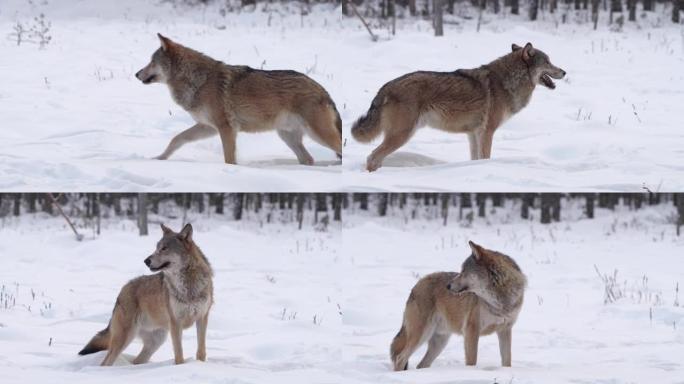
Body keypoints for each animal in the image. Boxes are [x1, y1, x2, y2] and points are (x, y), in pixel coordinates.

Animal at [77, 224, 212, 368]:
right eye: (157, 247)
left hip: (156, 341)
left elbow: (201, 351)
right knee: (106, 362)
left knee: (136, 361)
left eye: (164, 248)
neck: (188, 284)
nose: (146, 261)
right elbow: (179, 355)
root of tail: (122, 291)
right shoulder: (176, 323)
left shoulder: (202, 318)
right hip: (124, 338)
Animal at [136, 33, 342, 164]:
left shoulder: (226, 128)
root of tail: (324, 91)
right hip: (287, 136)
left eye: (151, 62)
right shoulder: (208, 127)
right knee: (308, 159)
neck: (198, 80)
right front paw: (159, 159)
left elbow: (229, 159)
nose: (136, 74)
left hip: (319, 135)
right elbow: (177, 139)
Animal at [352, 41, 568, 171]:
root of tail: (386, 86)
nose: (565, 72)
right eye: (548, 62)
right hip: (402, 135)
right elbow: (486, 157)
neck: (508, 81)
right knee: (372, 157)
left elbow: (475, 159)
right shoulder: (487, 132)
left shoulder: (473, 133)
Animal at [388, 242, 528, 370]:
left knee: (421, 365)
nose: (448, 286)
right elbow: (472, 361)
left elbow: (507, 361)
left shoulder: (505, 330)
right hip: (422, 335)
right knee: (400, 358)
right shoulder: (471, 331)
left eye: (464, 271)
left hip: (439, 342)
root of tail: (417, 284)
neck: (500, 301)